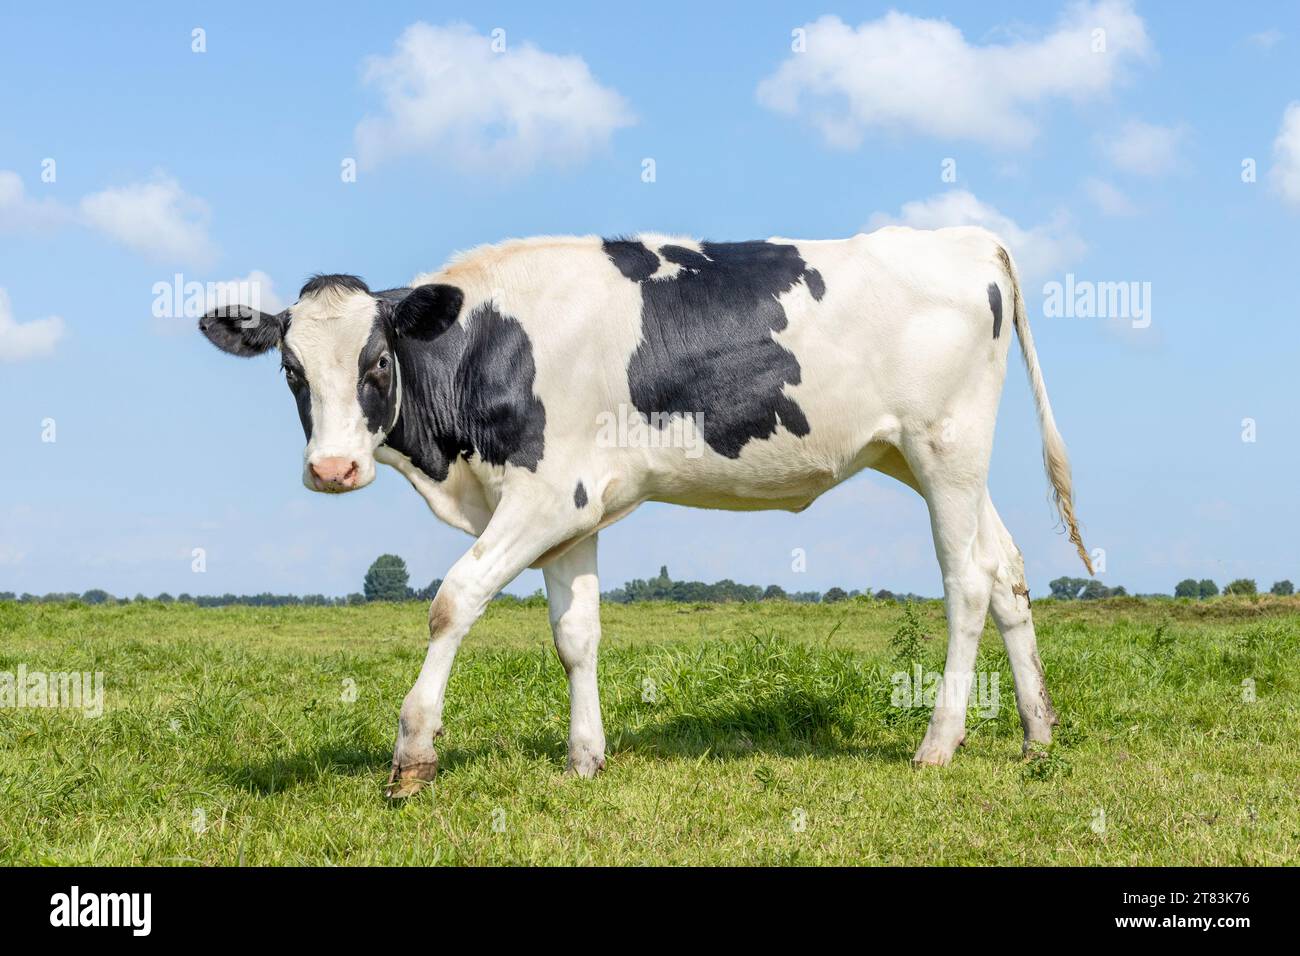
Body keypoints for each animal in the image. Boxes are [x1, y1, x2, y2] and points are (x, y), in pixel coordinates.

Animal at [199, 227, 1091, 800]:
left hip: (945, 449)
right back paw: (1038, 735)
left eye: (378, 361)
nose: (332, 469)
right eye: (290, 370)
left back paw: (938, 744)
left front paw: (413, 754)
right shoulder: (574, 510)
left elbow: (453, 601)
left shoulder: (545, 494)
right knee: (1007, 573)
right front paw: (585, 759)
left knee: (966, 585)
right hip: (923, 458)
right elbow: (576, 635)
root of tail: (964, 235)